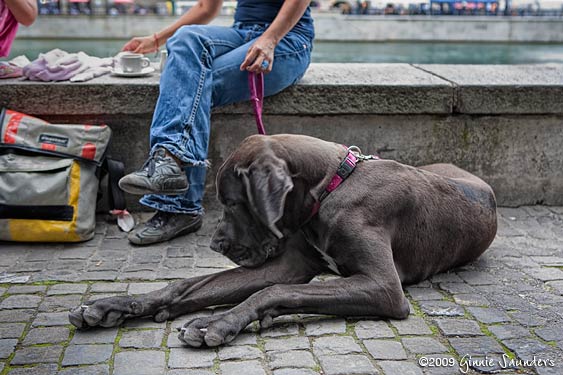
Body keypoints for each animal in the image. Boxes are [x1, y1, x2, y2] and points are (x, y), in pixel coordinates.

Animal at [70, 134, 498, 348]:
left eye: (233, 203)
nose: (216, 246)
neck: (334, 186)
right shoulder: (288, 264)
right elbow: (187, 286)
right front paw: (115, 306)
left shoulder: (384, 286)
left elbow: (272, 290)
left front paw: (218, 322)